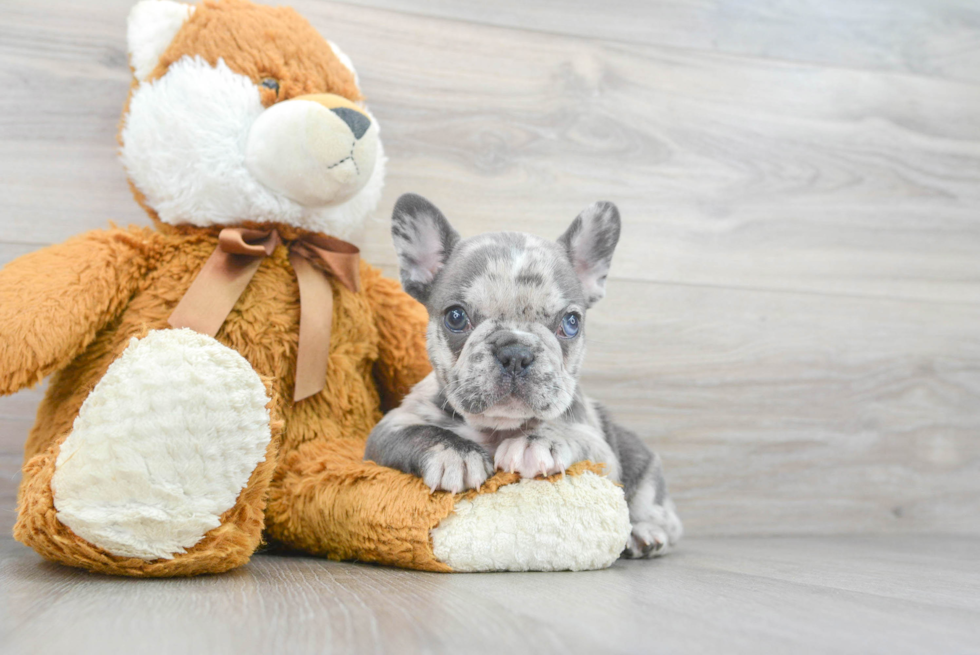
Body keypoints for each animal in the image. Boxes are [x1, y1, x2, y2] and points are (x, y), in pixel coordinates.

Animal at [366, 193, 680, 560]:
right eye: (455, 317)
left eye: (571, 322)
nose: (515, 352)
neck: (497, 428)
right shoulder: (389, 428)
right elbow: (419, 432)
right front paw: (454, 453)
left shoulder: (601, 452)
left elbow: (570, 434)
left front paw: (538, 442)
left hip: (642, 467)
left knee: (659, 513)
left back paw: (644, 534)